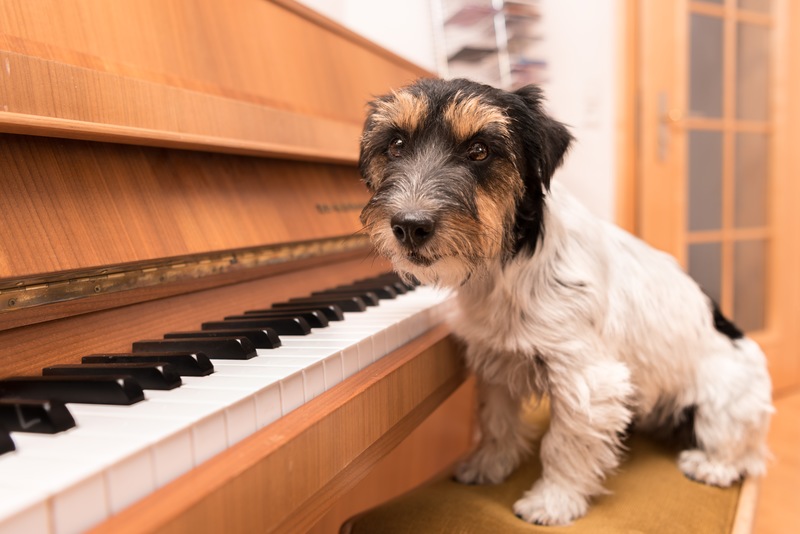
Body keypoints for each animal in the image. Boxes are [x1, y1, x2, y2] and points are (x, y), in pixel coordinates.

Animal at [358, 78, 776, 528]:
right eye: (396, 144)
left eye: (480, 150)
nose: (409, 226)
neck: (506, 264)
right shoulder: (495, 361)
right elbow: (495, 421)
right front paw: (489, 465)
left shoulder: (586, 379)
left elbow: (563, 444)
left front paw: (553, 501)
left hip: (724, 403)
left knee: (742, 454)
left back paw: (711, 465)